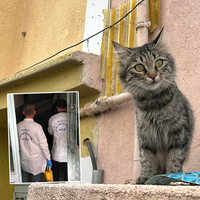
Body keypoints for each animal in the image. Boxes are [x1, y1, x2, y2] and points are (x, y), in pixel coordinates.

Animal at [112, 28, 194, 184]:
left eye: (159, 63)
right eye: (139, 67)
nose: (153, 76)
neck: (153, 104)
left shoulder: (179, 132)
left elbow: (175, 157)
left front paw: (173, 177)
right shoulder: (144, 136)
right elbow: (146, 159)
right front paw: (145, 177)